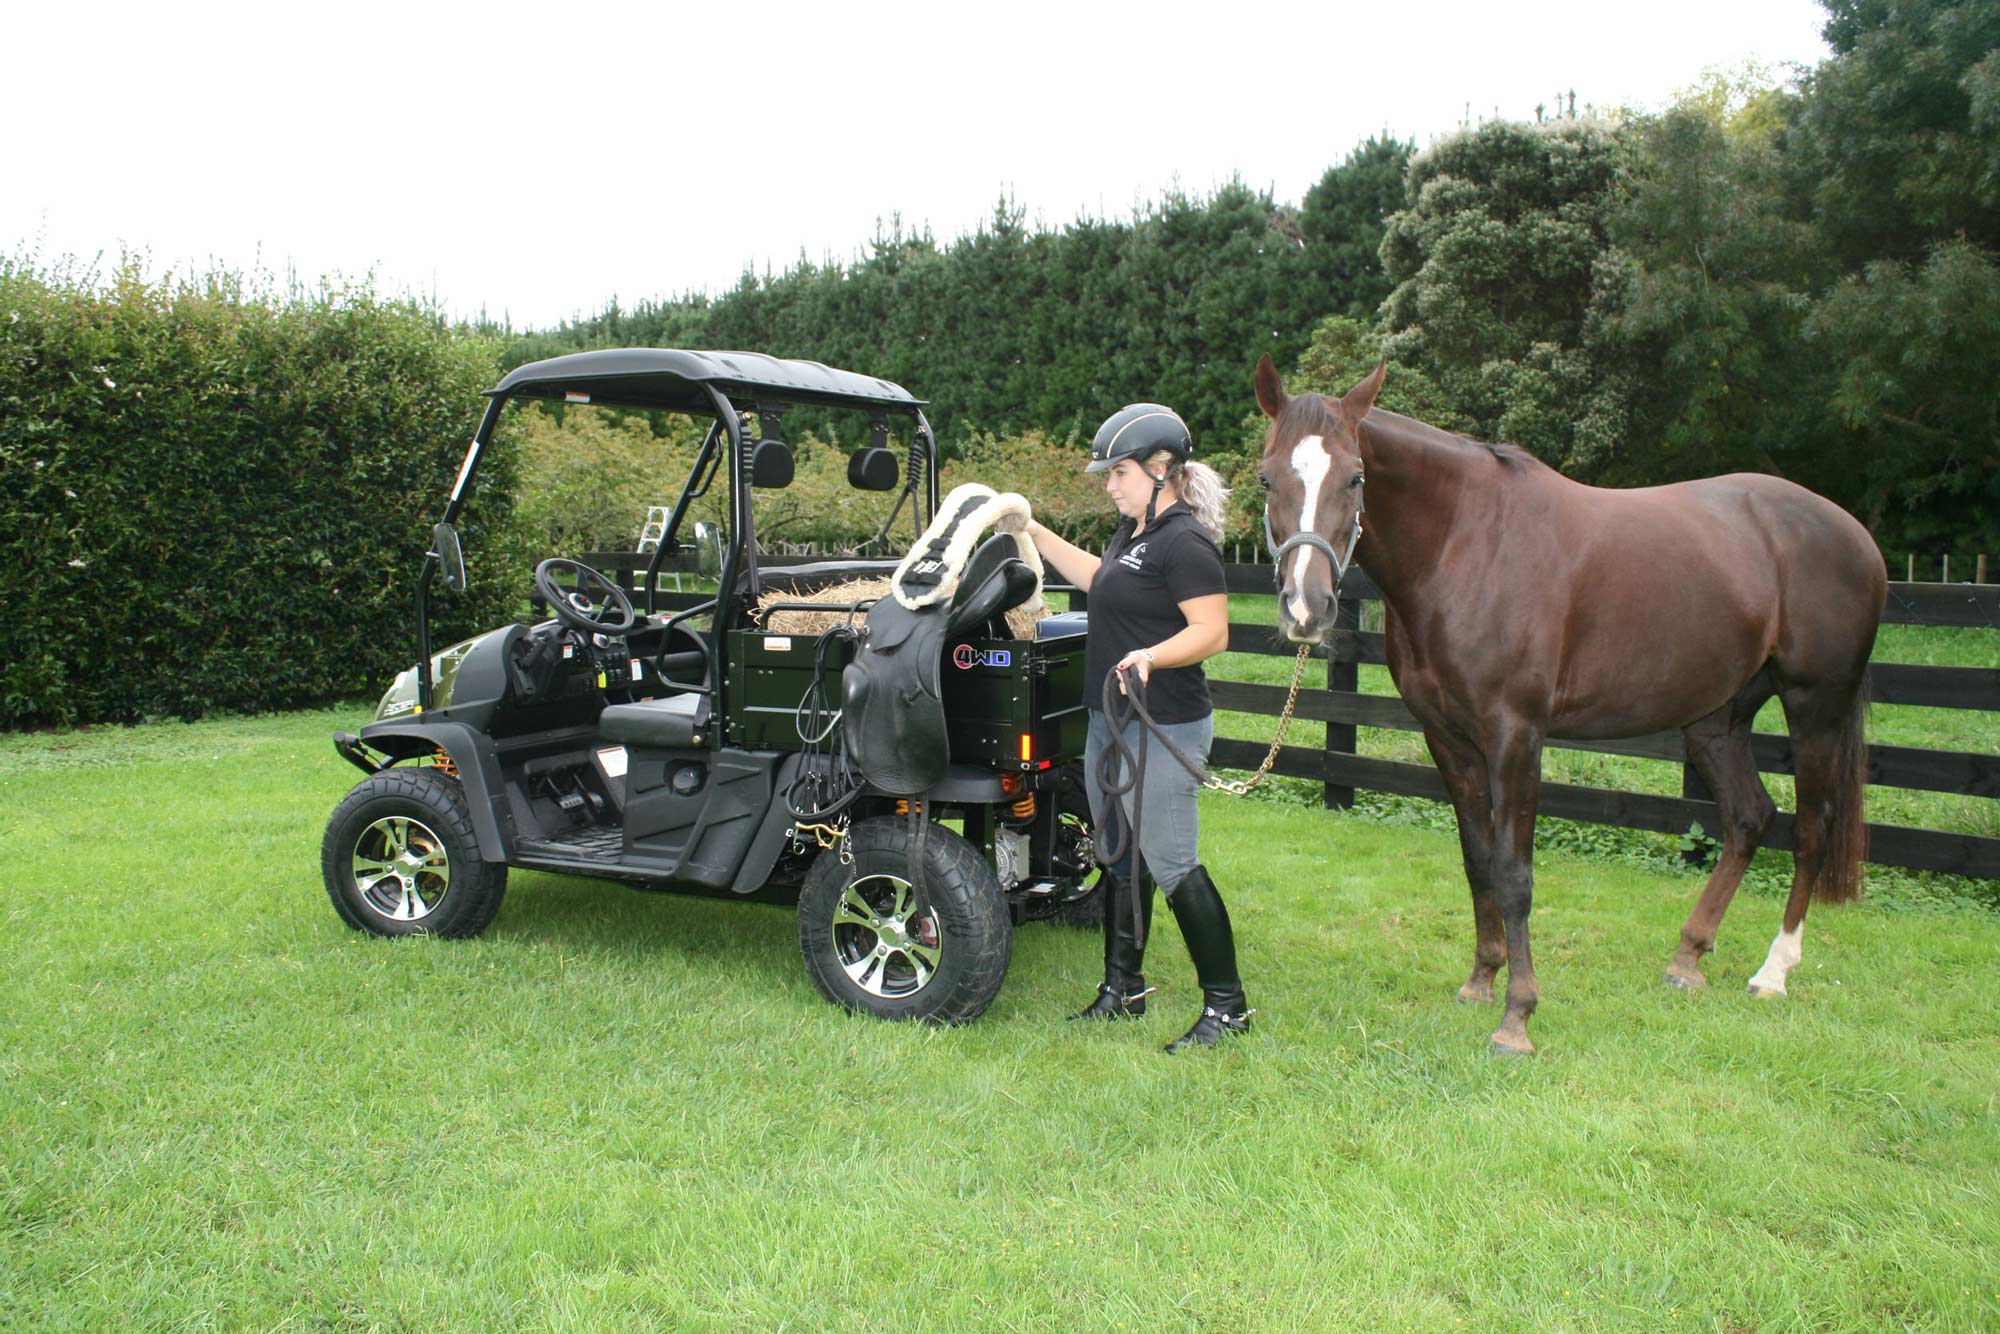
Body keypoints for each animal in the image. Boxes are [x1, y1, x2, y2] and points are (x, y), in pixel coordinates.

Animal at [1252, 355, 1888, 1055]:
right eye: (1267, 477)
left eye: (1356, 478)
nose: (1307, 609)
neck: (1466, 543)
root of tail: (1854, 533)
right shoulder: (1448, 738)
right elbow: (1477, 861)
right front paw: (1481, 980)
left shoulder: (1516, 737)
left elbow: (1515, 873)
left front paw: (1517, 1018)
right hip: (1716, 722)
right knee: (1749, 818)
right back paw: (1687, 958)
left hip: (1815, 707)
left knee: (1810, 829)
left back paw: (1774, 972)